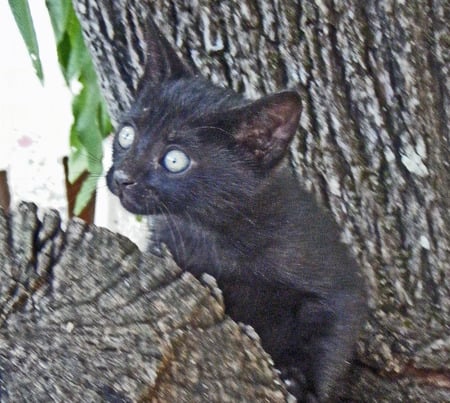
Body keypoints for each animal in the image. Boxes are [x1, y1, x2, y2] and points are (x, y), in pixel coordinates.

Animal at [106, 17, 366, 402]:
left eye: (174, 160)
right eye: (126, 135)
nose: (123, 177)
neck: (215, 233)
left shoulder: (338, 277)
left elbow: (333, 332)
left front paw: (301, 382)